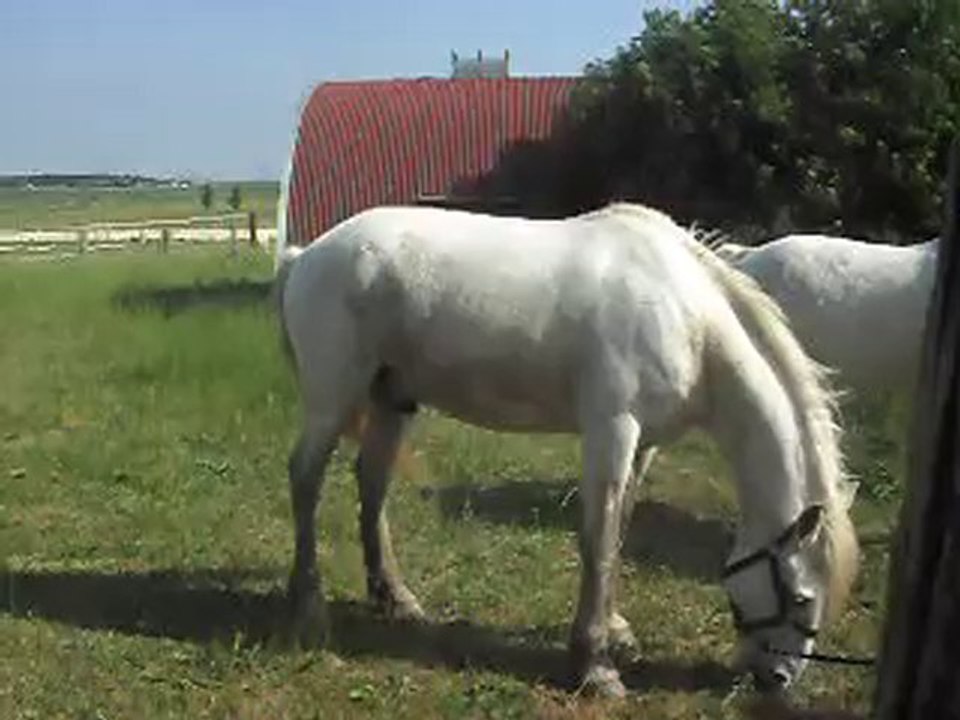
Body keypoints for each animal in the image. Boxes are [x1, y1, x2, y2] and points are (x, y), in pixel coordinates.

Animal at [274, 202, 860, 697]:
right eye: (802, 597)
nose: (778, 679)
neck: (687, 319)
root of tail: (307, 255)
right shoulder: (612, 430)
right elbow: (597, 541)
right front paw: (595, 668)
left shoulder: (642, 445)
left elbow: (620, 530)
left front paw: (617, 631)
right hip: (333, 398)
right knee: (305, 479)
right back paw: (308, 606)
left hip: (393, 398)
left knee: (372, 481)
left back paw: (395, 600)